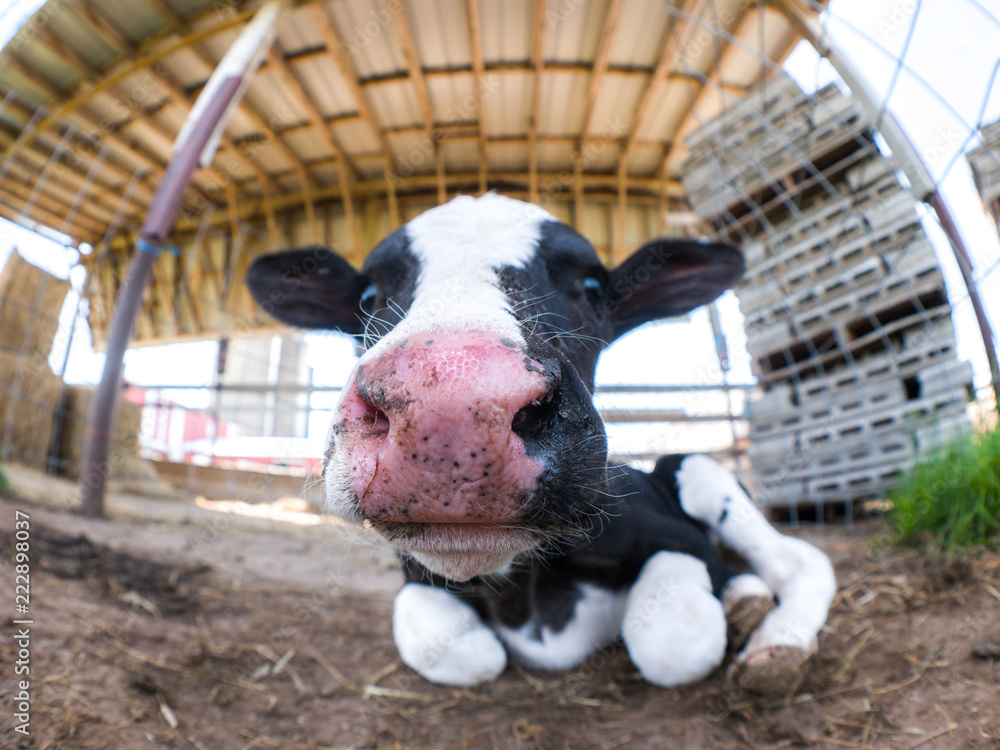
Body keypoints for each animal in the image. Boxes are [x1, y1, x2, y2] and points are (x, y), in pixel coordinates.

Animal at [246, 193, 836, 692]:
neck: (526, 597)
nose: (453, 405)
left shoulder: (676, 540)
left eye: (593, 287)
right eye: (368, 294)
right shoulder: (416, 578)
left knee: (799, 559)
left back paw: (774, 643)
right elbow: (460, 651)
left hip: (698, 470)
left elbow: (673, 641)